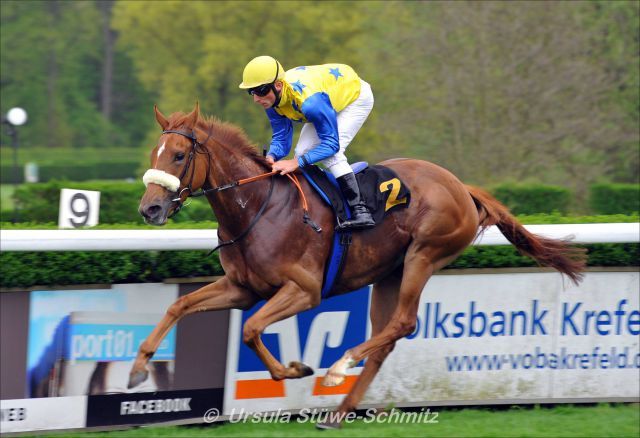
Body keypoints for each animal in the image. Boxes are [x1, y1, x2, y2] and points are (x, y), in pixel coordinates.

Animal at [129, 103, 584, 428]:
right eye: (154, 152)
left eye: (179, 155)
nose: (149, 208)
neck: (258, 208)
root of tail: (461, 186)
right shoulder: (242, 288)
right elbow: (180, 306)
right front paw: (137, 370)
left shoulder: (304, 290)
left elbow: (252, 329)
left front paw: (296, 368)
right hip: (389, 273)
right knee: (386, 337)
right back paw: (338, 412)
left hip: (425, 254)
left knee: (403, 322)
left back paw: (339, 368)